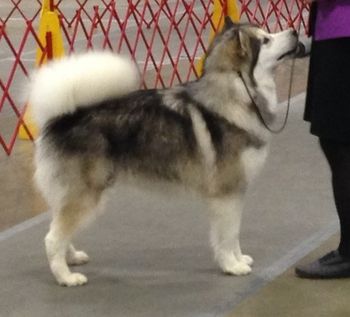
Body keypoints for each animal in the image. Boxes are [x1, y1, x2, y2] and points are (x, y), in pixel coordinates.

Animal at [30, 17, 298, 286]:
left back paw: (72, 257)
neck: (235, 95)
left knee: (58, 227)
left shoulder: (234, 192)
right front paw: (232, 266)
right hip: (87, 195)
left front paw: (239, 258)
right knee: (52, 238)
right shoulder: (227, 192)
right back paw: (66, 276)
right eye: (266, 40)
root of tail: (62, 118)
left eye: (267, 33)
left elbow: (233, 234)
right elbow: (228, 234)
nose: (295, 32)